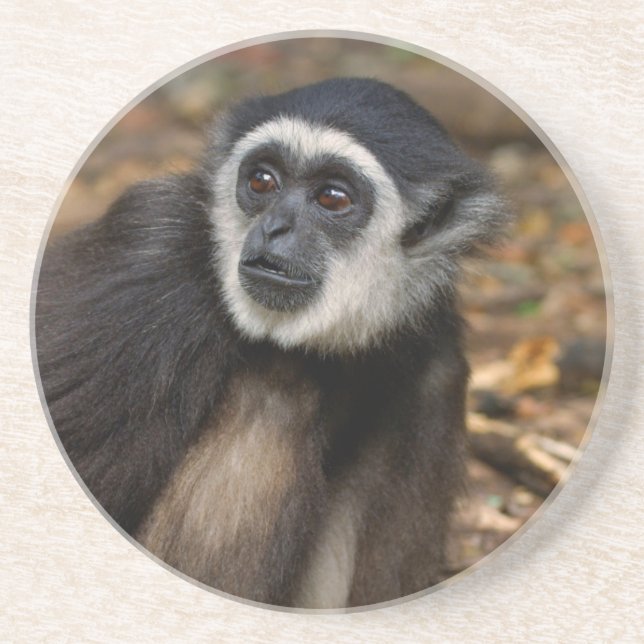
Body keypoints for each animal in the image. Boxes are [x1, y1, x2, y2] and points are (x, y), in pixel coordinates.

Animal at [35, 77, 508, 609]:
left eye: (333, 198)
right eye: (262, 182)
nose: (275, 227)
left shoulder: (425, 316)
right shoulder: (151, 251)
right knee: (274, 389)